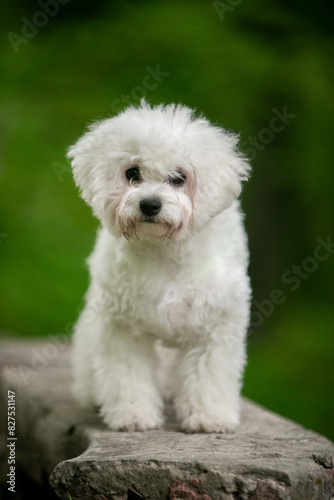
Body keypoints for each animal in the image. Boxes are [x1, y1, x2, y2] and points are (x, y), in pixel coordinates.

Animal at [68, 101, 250, 434]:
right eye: (132, 173)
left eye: (179, 177)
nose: (150, 204)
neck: (164, 251)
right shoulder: (122, 328)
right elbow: (128, 374)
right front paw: (133, 415)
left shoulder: (214, 325)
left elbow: (209, 374)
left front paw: (210, 416)